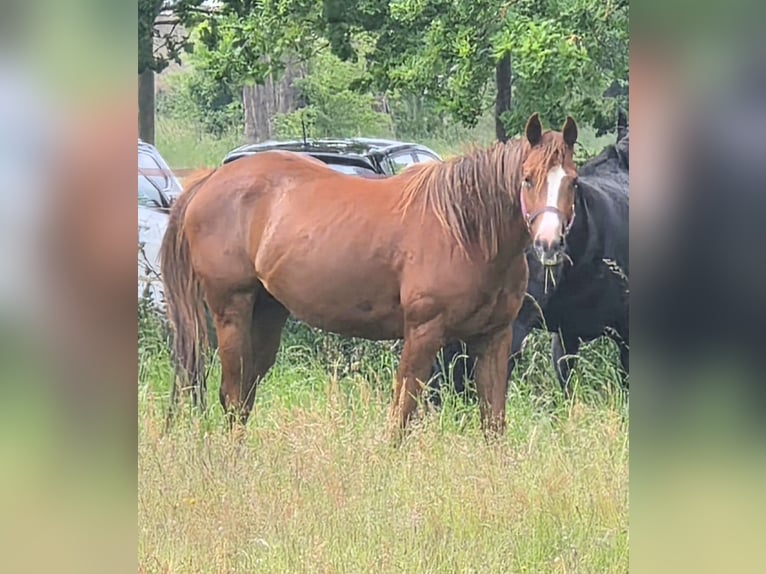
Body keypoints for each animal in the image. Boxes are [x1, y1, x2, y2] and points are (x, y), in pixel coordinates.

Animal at [160, 113, 579, 438]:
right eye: (527, 178)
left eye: (573, 181)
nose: (548, 243)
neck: (465, 231)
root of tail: (210, 180)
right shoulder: (423, 334)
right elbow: (401, 417)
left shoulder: (493, 340)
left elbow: (493, 423)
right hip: (231, 310)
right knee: (232, 396)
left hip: (267, 313)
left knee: (244, 397)